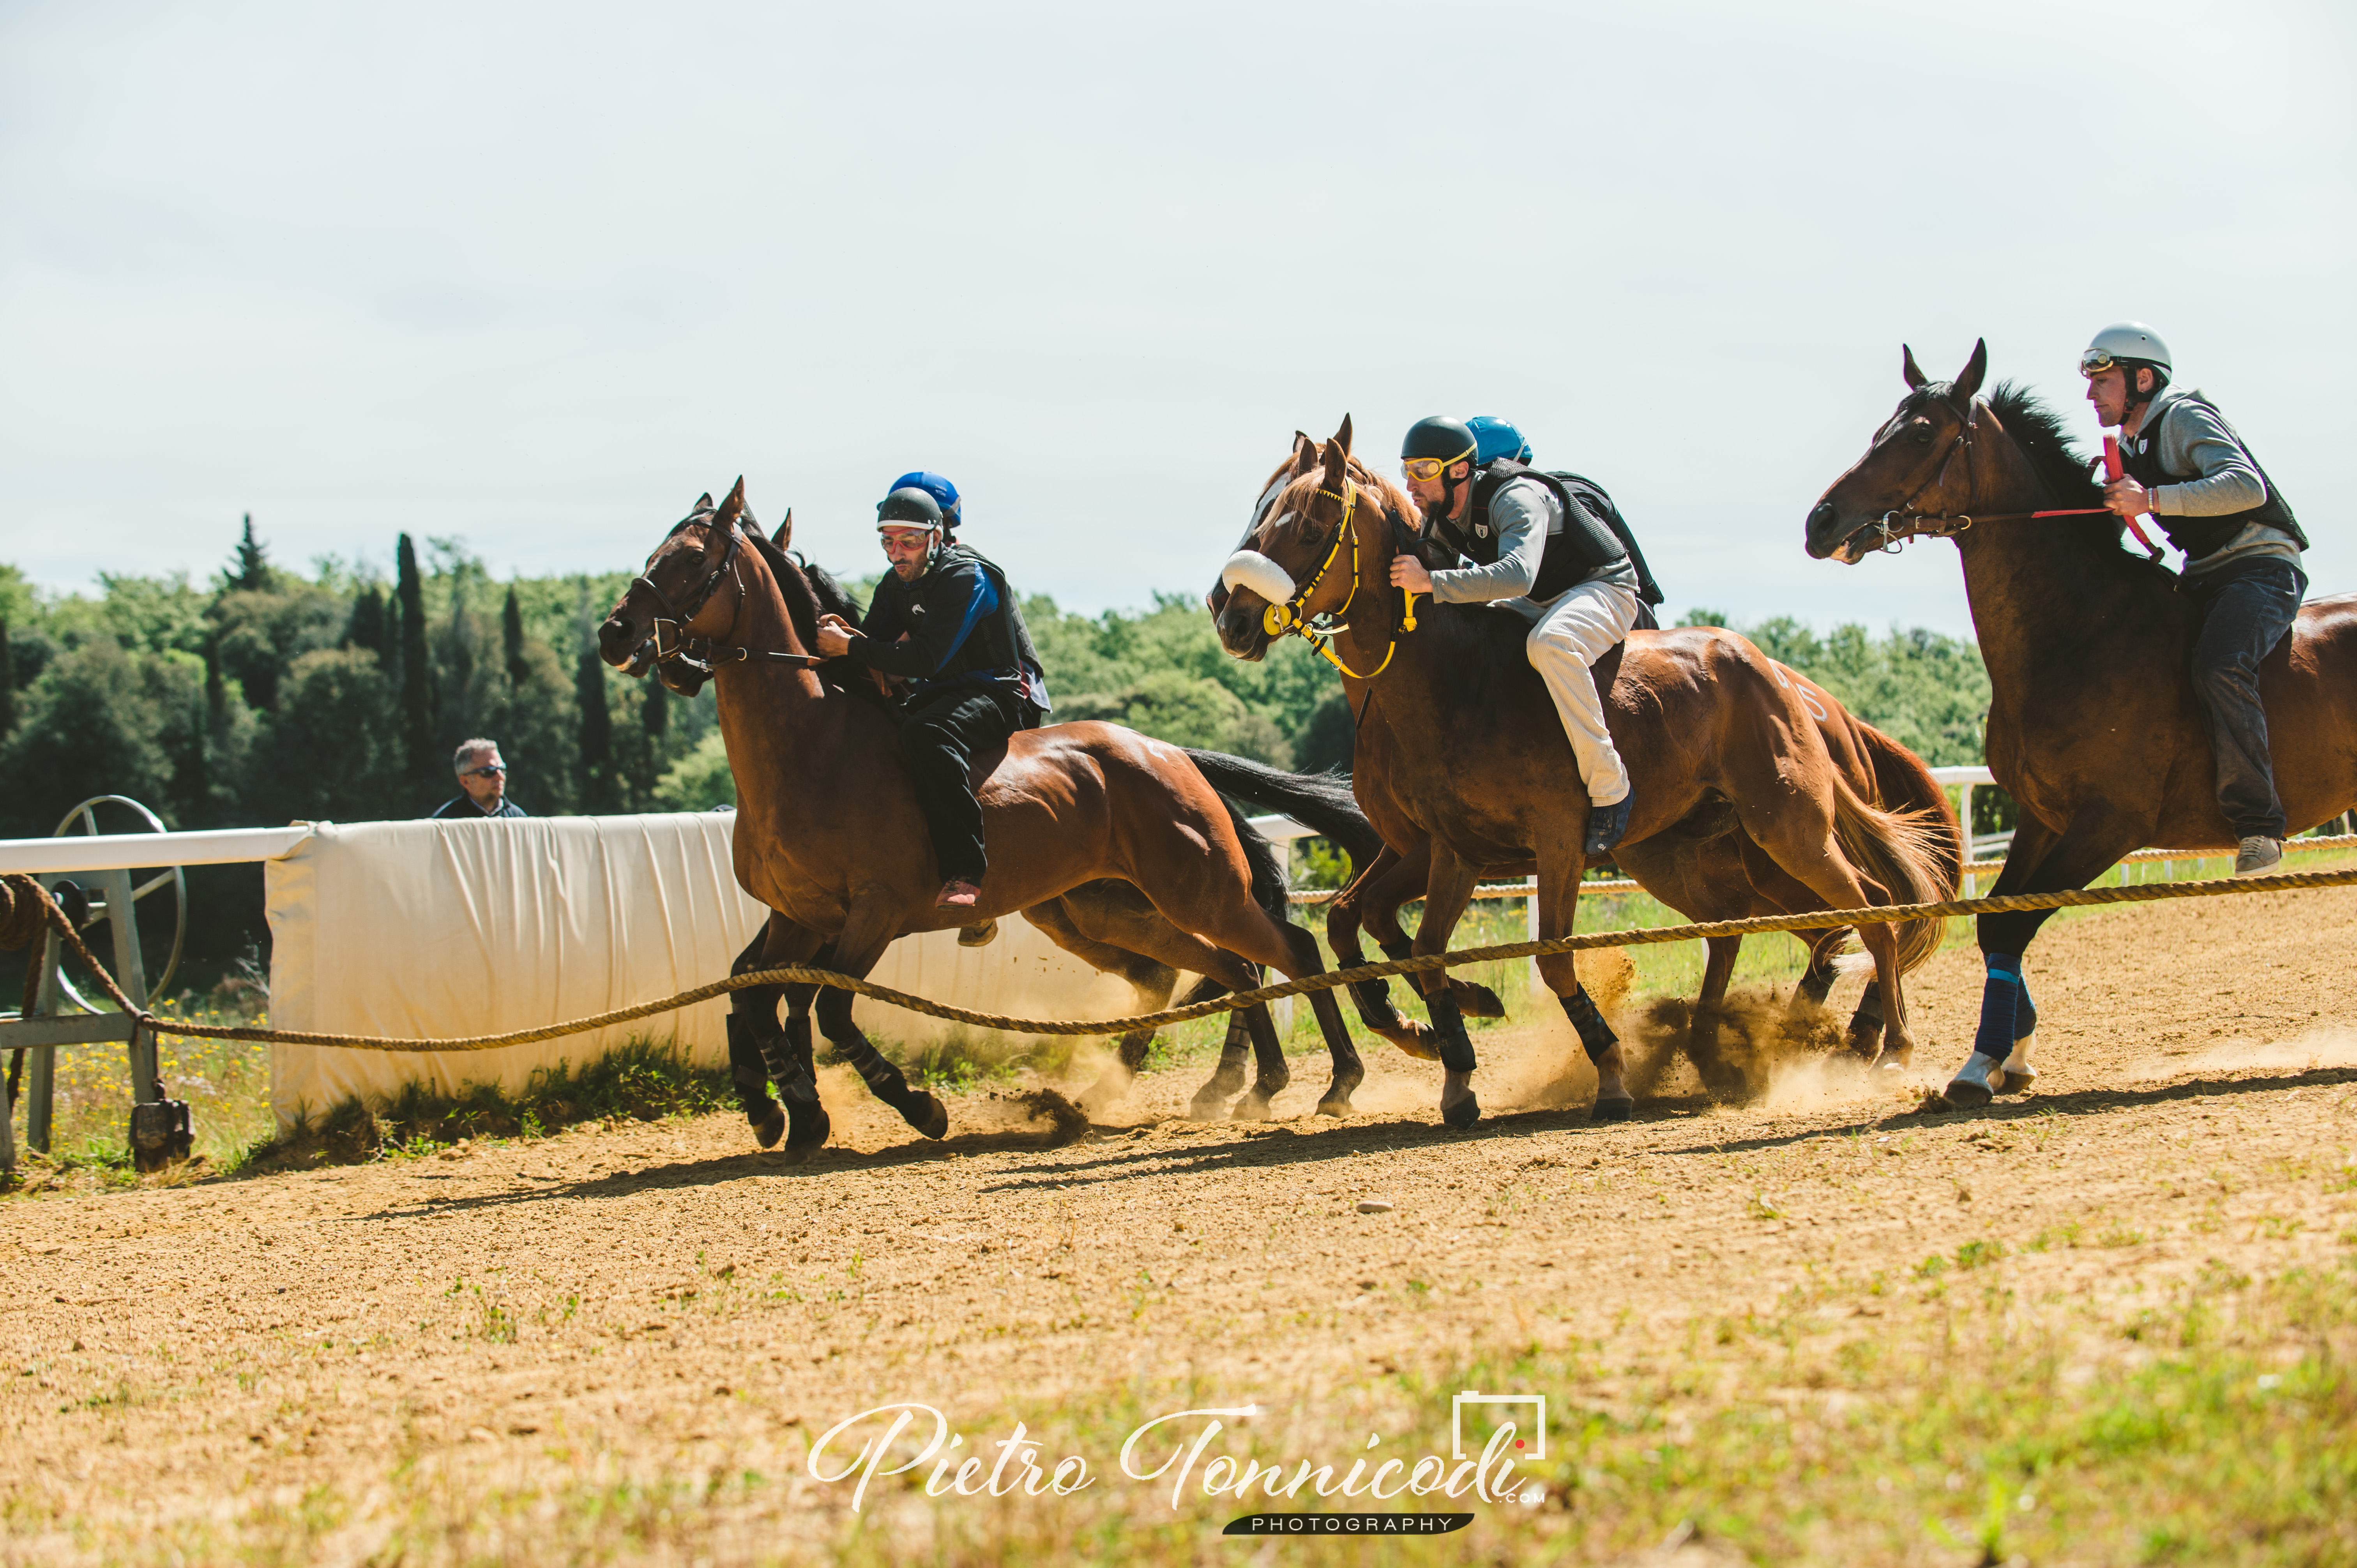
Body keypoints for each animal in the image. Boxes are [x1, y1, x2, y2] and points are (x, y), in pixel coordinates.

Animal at [603, 476, 1376, 1150]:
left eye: (691, 559)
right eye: (650, 556)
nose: (618, 633)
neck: (810, 745)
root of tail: (1167, 753)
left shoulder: (873, 911)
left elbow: (825, 1009)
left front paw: (911, 1106)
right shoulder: (799, 915)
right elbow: (756, 995)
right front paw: (787, 1109)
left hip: (1198, 890)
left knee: (1286, 951)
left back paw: (1333, 1078)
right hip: (1115, 911)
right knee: (1223, 968)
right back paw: (1211, 1087)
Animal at [1216, 415, 1951, 1127]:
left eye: (1307, 528)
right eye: (1258, 513)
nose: (1230, 618)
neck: (1446, 680)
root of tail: (1776, 674)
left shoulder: (1554, 841)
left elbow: (1546, 954)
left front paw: (1608, 1072)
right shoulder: (1448, 850)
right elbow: (1399, 937)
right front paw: (1453, 1054)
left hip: (1787, 828)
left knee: (1871, 908)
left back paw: (1887, 1046)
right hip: (1691, 856)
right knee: (1745, 928)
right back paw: (1725, 1048)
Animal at [1800, 342, 2357, 1098]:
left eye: (1918, 433)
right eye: (1879, 427)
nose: (1821, 522)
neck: (2082, 630)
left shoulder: (2108, 824)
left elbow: (2013, 928)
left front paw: (1982, 1064)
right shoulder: (2043, 817)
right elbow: (1998, 921)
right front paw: (2011, 1049)